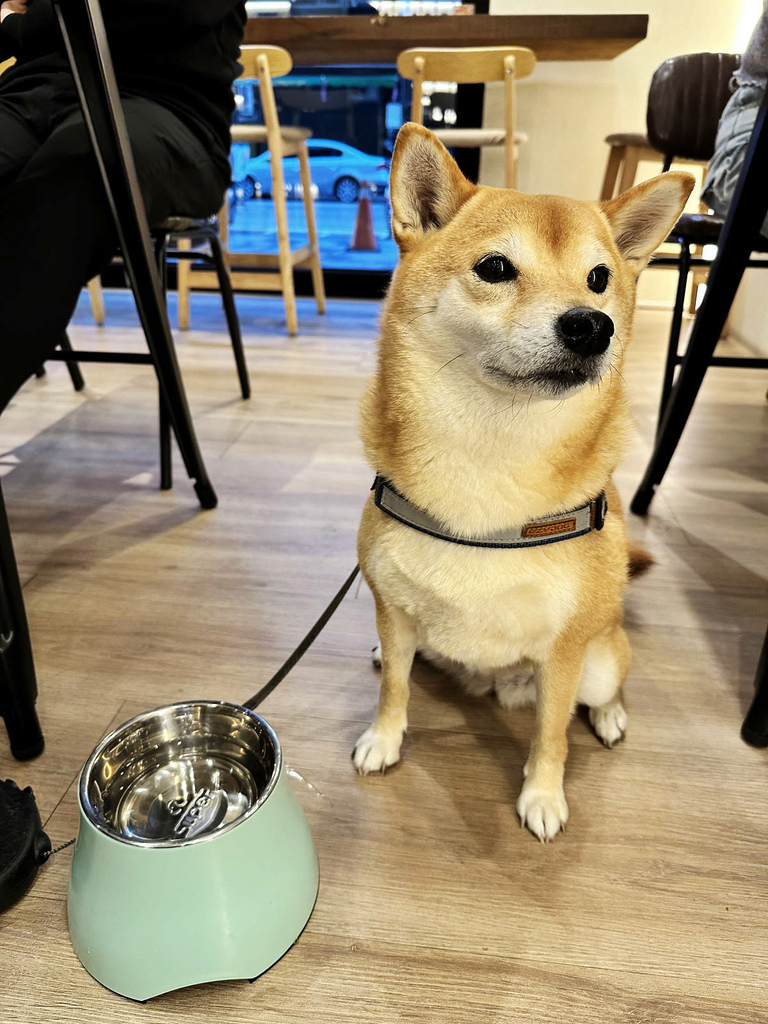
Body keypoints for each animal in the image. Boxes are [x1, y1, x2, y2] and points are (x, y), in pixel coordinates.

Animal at [354, 121, 696, 839]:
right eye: (495, 268)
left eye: (599, 278)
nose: (592, 325)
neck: (490, 457)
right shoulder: (394, 610)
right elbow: (395, 686)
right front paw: (384, 738)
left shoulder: (563, 654)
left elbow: (552, 734)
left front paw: (542, 795)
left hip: (600, 656)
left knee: (605, 686)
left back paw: (611, 715)